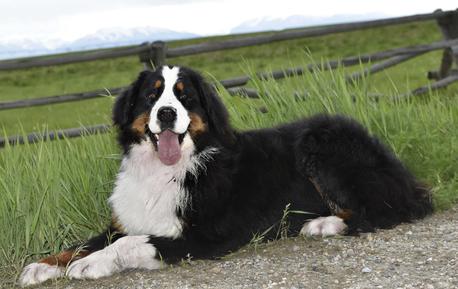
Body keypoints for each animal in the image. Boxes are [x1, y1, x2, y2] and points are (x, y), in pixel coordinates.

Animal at [18, 66, 432, 286]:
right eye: (152, 96)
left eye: (184, 97)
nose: (166, 113)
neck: (172, 169)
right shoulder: (125, 219)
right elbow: (81, 242)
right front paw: (42, 265)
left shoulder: (206, 235)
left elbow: (128, 243)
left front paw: (90, 264)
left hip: (322, 143)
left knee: (386, 209)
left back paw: (324, 224)